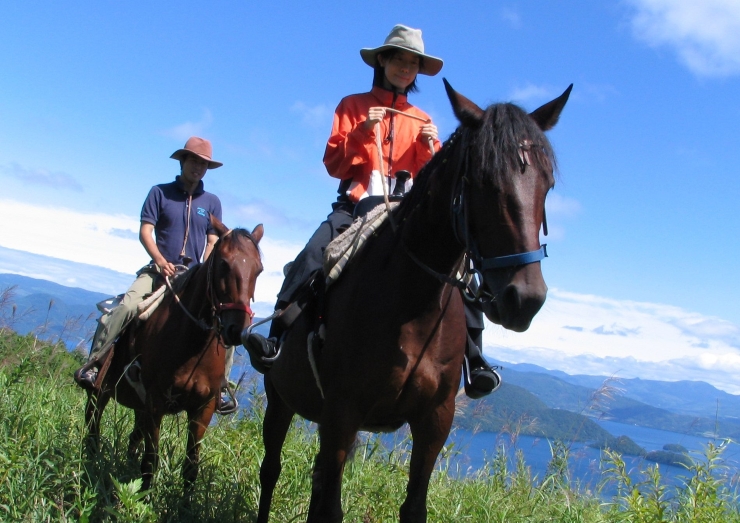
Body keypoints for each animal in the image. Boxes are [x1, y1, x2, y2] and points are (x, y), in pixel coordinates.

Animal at [85, 216, 264, 496]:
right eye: (224, 263)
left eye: (259, 270)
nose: (236, 329)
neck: (191, 344)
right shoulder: (155, 402)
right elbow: (150, 462)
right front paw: (145, 500)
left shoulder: (203, 409)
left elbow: (191, 467)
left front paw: (182, 503)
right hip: (100, 392)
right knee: (92, 429)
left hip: (139, 408)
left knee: (132, 439)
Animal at [253, 80, 572, 520]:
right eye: (482, 180)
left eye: (548, 184)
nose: (525, 298)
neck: (410, 308)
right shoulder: (341, 416)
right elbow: (330, 508)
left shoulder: (434, 421)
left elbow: (413, 506)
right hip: (279, 399)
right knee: (271, 470)